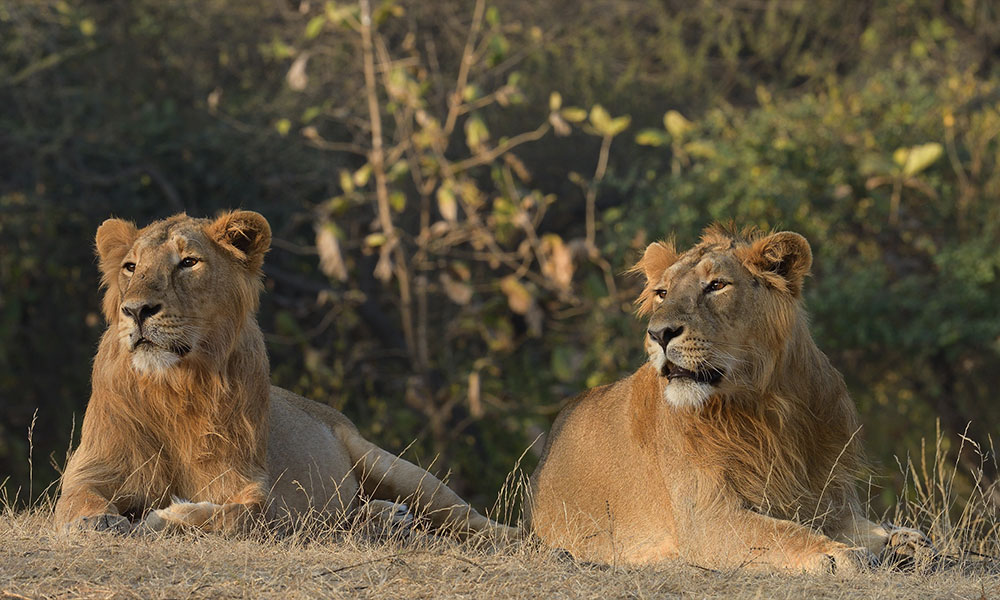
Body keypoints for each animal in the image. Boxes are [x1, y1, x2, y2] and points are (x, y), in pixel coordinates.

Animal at [54, 211, 516, 540]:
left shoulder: (255, 485)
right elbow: (79, 500)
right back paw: (385, 518)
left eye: (188, 262)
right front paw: (98, 522)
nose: (136, 311)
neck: (175, 388)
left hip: (391, 465)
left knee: (472, 520)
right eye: (131, 267)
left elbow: (240, 516)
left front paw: (164, 517)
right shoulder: (92, 469)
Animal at [528, 225, 924, 572]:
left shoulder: (829, 499)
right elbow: (782, 532)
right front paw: (838, 554)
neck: (765, 404)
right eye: (661, 293)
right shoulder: (706, 519)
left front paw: (906, 541)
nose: (658, 334)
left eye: (716, 285)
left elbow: (871, 527)